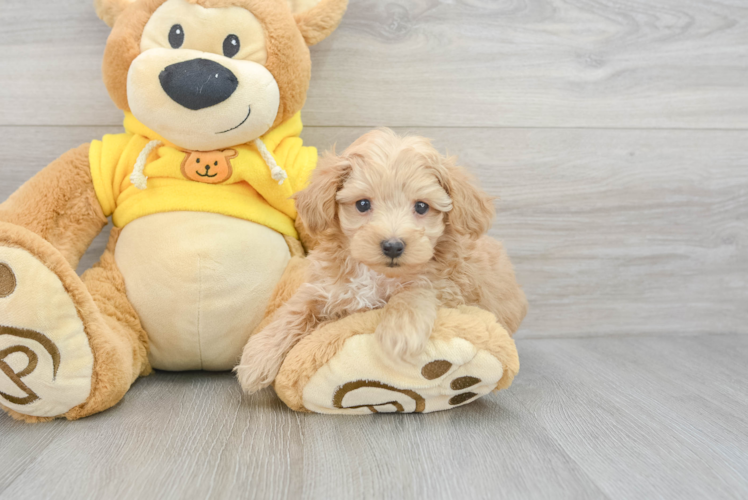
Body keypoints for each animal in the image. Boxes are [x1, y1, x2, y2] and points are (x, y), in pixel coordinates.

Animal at [237, 129, 528, 394]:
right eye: (363, 204)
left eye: (421, 207)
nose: (393, 246)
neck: (375, 274)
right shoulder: (326, 286)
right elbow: (295, 309)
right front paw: (257, 357)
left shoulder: (447, 284)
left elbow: (414, 290)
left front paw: (401, 331)